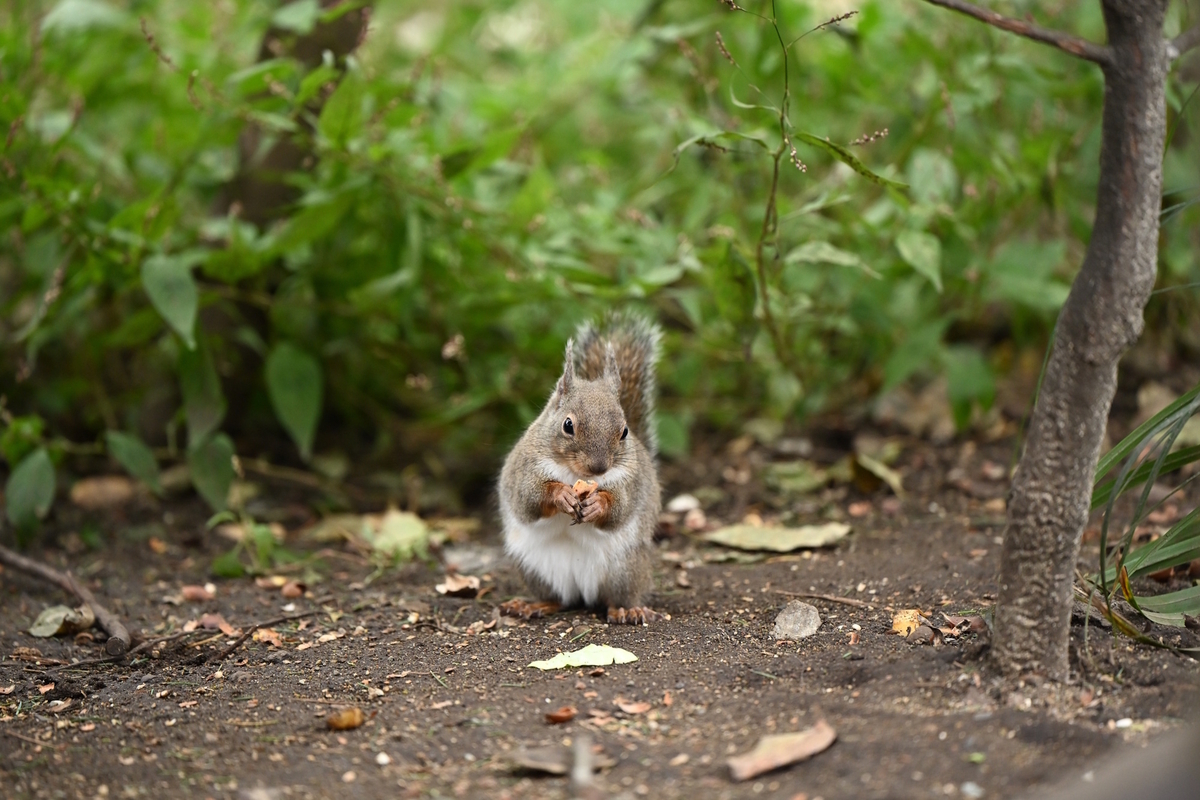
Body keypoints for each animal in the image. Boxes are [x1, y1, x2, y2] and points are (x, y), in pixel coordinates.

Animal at [498, 312, 664, 625]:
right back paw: (533, 605)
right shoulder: (525, 469)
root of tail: (582, 592)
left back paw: (627, 609)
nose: (599, 468)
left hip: (624, 569)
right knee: (558, 599)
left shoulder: (630, 481)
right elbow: (528, 499)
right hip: (535, 568)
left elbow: (620, 507)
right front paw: (560, 495)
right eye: (568, 425)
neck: (577, 475)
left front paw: (598, 504)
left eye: (624, 431)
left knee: (614, 598)